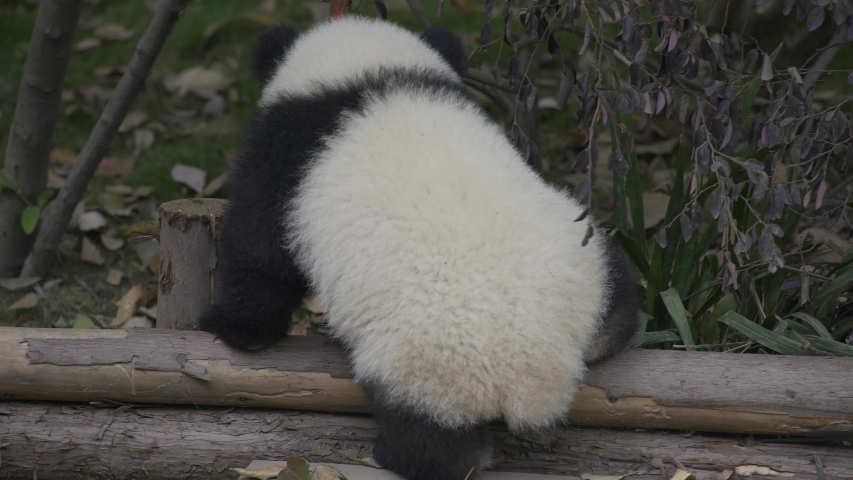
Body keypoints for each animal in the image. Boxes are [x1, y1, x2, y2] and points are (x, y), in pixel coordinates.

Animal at [199, 16, 639, 480]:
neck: (368, 75)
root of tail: (537, 376)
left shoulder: (285, 156)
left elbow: (259, 249)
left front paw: (235, 327)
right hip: (583, 254)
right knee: (618, 295)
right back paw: (612, 332)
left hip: (426, 365)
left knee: (433, 438)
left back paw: (398, 455)